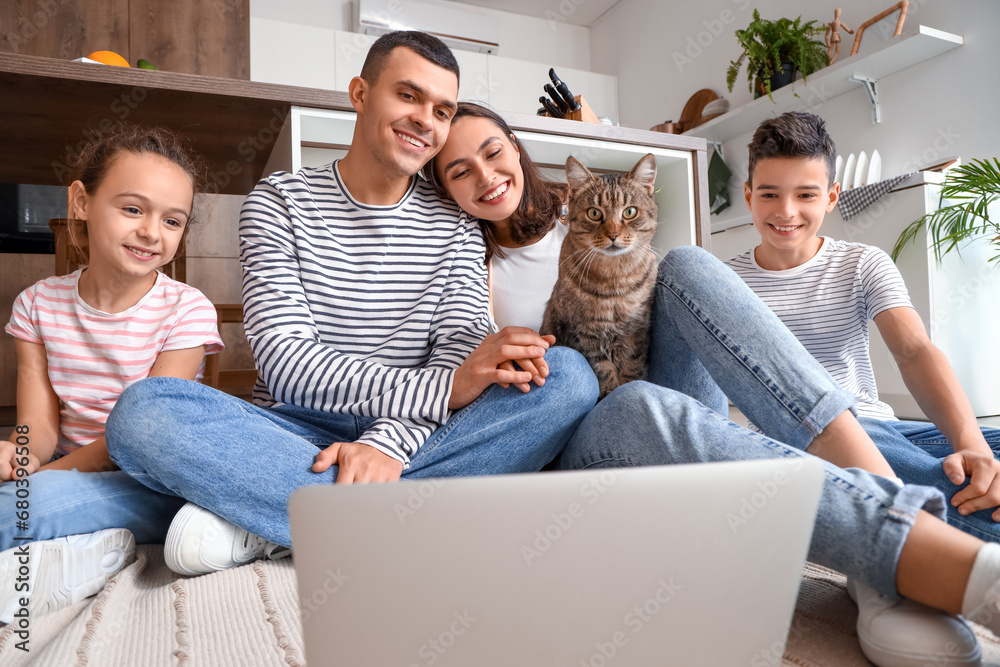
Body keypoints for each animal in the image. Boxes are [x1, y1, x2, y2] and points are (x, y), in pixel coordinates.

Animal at [544, 154, 660, 400]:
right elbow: (603, 372)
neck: (614, 279)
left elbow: (632, 367)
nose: (613, 234)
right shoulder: (583, 335)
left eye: (630, 212)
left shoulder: (638, 331)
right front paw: (610, 393)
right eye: (594, 213)